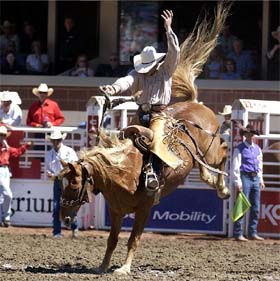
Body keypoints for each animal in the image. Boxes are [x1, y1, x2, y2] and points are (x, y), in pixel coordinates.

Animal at [59, 1, 234, 274]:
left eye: (75, 184)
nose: (65, 218)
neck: (123, 170)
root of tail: (196, 103)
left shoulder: (144, 209)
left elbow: (134, 239)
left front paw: (123, 268)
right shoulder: (116, 211)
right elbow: (112, 240)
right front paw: (103, 266)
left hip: (213, 148)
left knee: (224, 149)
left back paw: (225, 188)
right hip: (199, 155)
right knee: (205, 167)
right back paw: (208, 178)